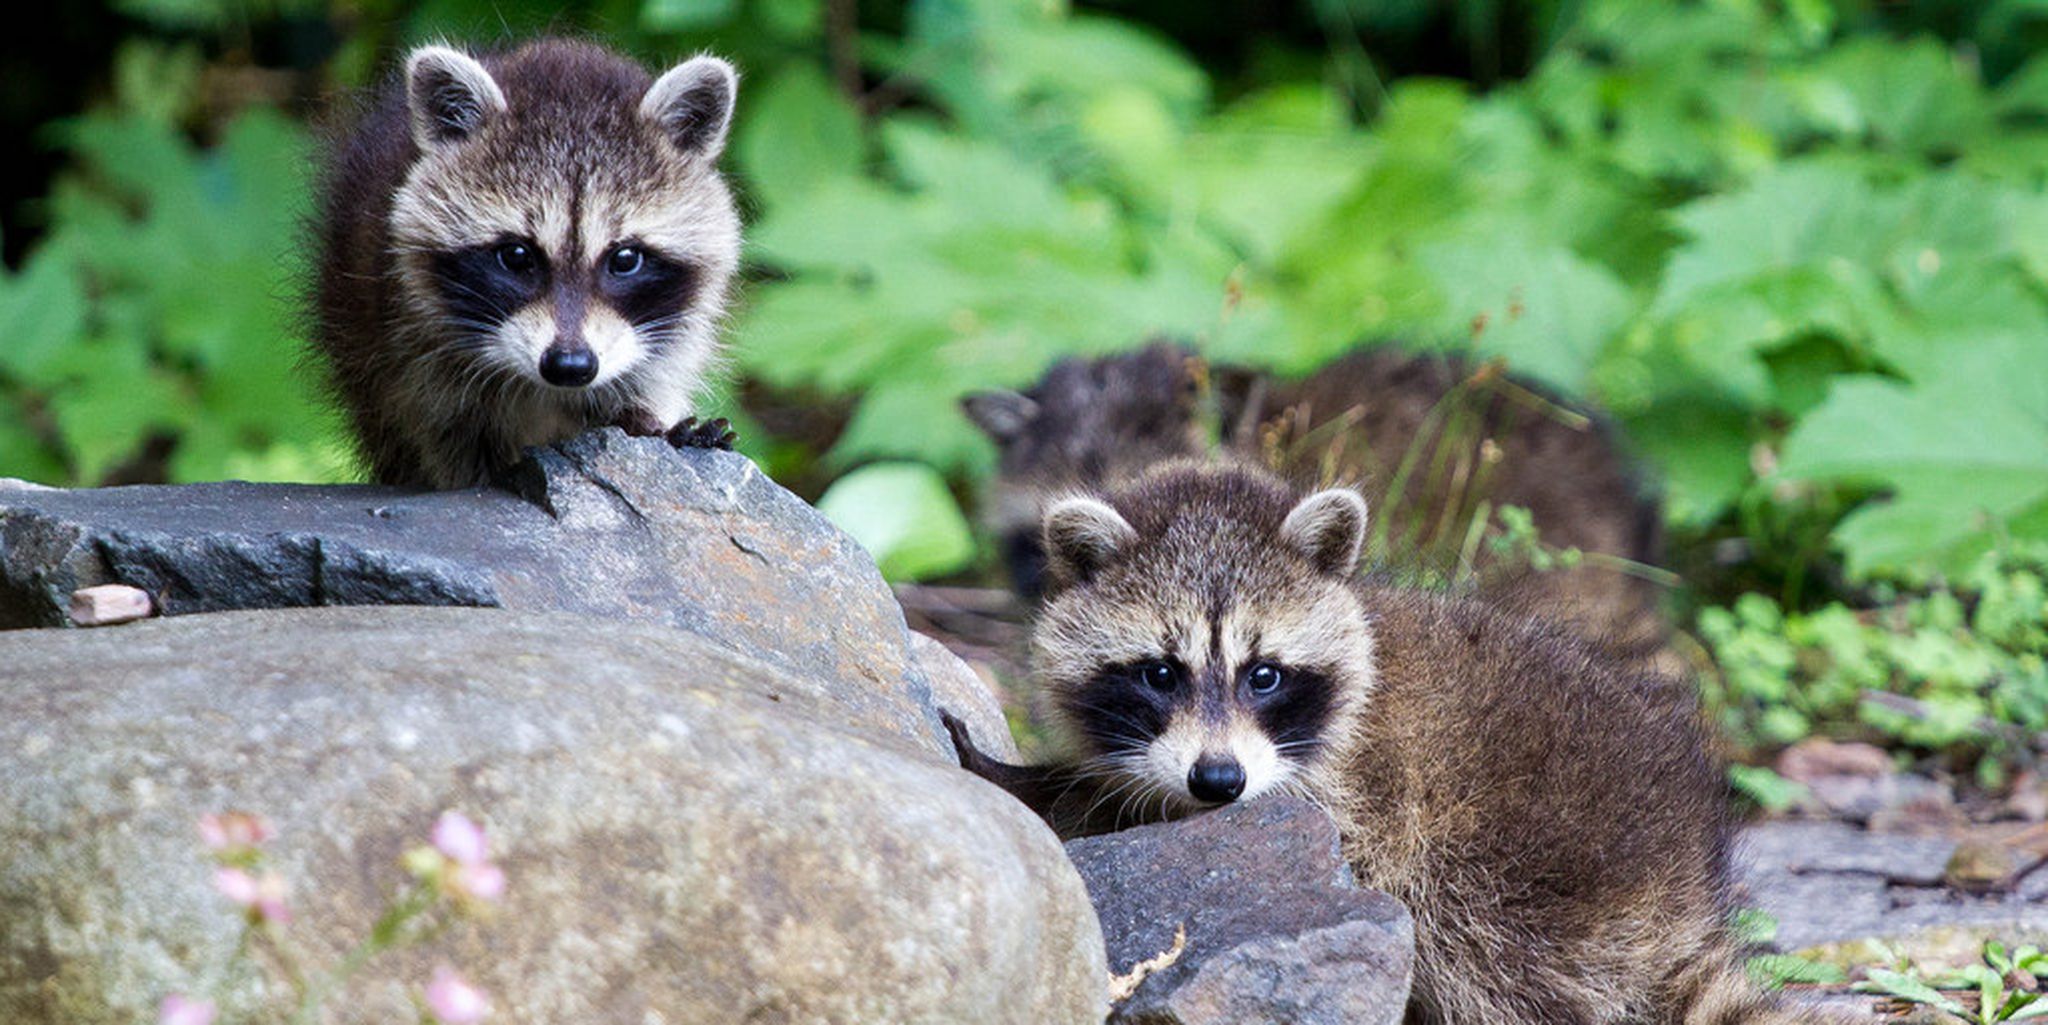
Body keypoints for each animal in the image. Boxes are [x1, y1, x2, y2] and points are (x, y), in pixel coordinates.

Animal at [311, 39, 743, 488]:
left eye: (625, 259)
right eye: (517, 256)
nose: (570, 366)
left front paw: (651, 423)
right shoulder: (408, 355)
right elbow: (448, 437)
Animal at [943, 461, 1799, 1024]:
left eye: (1264, 674)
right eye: (1159, 672)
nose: (1218, 779)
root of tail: (1683, 896)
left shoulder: (1353, 798)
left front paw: (1032, 784)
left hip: (1517, 876)